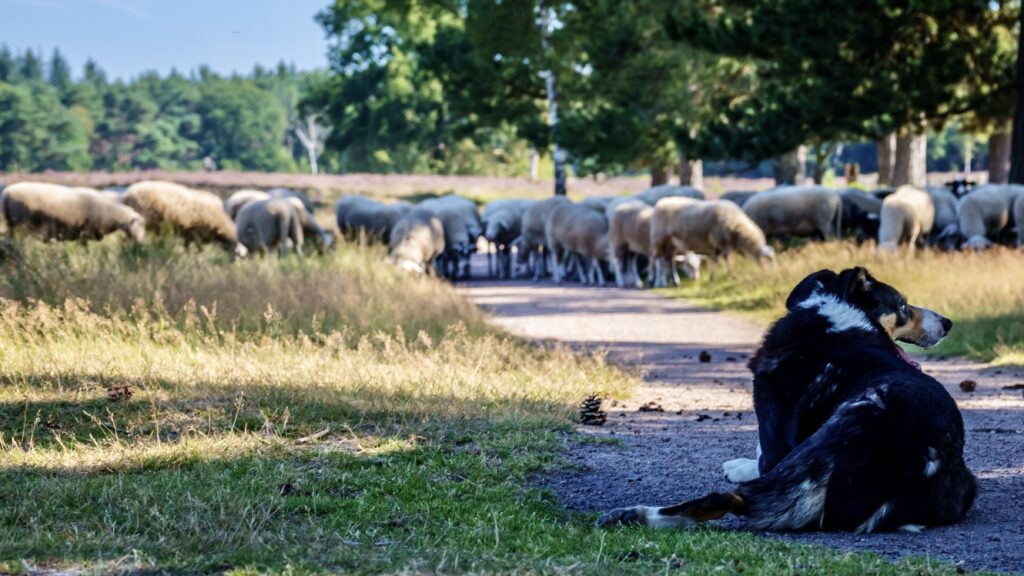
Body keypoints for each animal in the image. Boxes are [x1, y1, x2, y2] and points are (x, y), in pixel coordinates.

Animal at [1, 180, 146, 240]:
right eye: (139, 226)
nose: (142, 242)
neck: (110, 214)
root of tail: (6, 193)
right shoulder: (85, 232)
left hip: (12, 225)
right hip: (21, 225)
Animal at [598, 266, 974, 532]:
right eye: (903, 306)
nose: (948, 323)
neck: (838, 322)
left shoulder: (773, 442)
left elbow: (760, 456)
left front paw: (737, 465)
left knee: (730, 498)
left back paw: (631, 515)